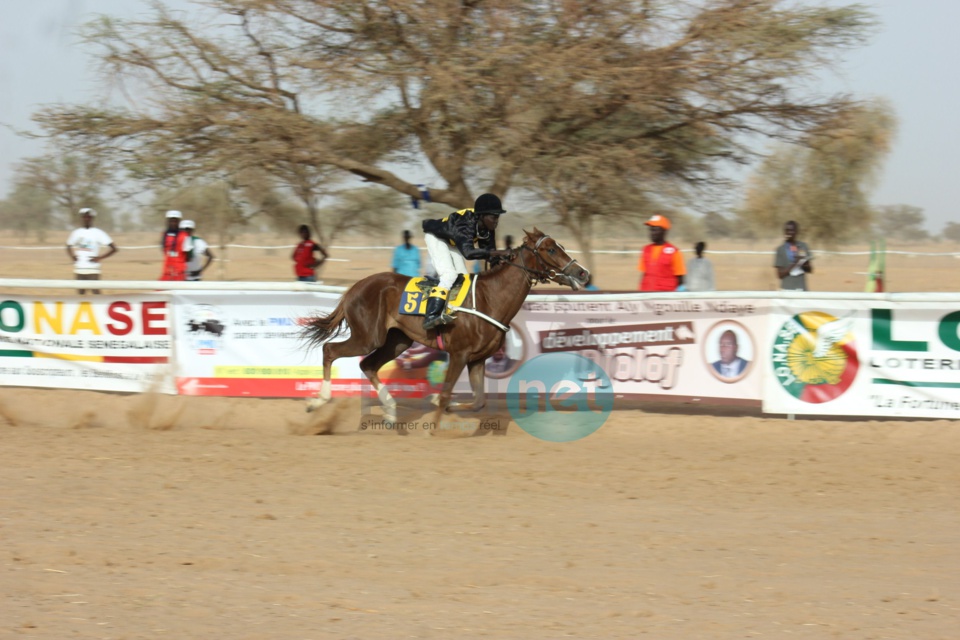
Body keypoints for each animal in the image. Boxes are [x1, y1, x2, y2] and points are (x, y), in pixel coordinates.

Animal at [300, 228, 588, 432]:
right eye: (551, 249)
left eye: (560, 246)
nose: (582, 273)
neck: (491, 298)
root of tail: (354, 288)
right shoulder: (459, 354)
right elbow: (447, 392)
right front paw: (434, 426)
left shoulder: (477, 359)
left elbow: (478, 400)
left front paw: (441, 404)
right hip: (367, 337)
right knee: (330, 350)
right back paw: (318, 400)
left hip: (397, 341)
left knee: (367, 365)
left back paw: (391, 412)